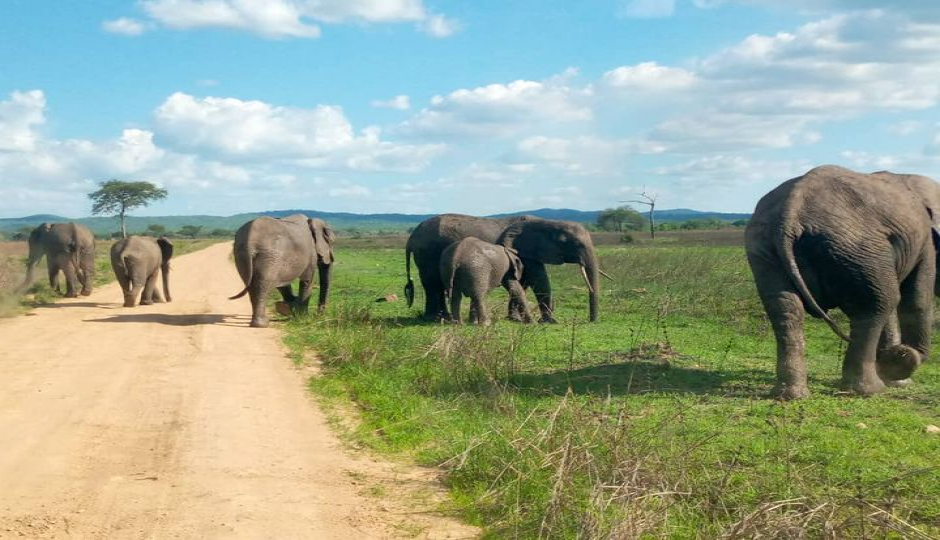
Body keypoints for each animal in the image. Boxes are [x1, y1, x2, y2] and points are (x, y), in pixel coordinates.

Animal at [404, 214, 604, 324]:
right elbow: (539, 280)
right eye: (574, 244)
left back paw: (440, 318)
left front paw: (515, 319)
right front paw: (549, 322)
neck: (548, 223)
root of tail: (412, 236)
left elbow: (522, 283)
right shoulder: (526, 249)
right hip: (428, 253)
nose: (591, 321)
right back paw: (436, 319)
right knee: (433, 284)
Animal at [744, 162, 940, 398]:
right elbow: (917, 298)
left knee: (784, 307)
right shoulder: (925, 242)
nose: (898, 354)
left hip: (764, 246)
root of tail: (790, 213)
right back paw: (869, 390)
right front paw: (900, 372)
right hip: (858, 249)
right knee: (878, 303)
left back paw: (791, 395)